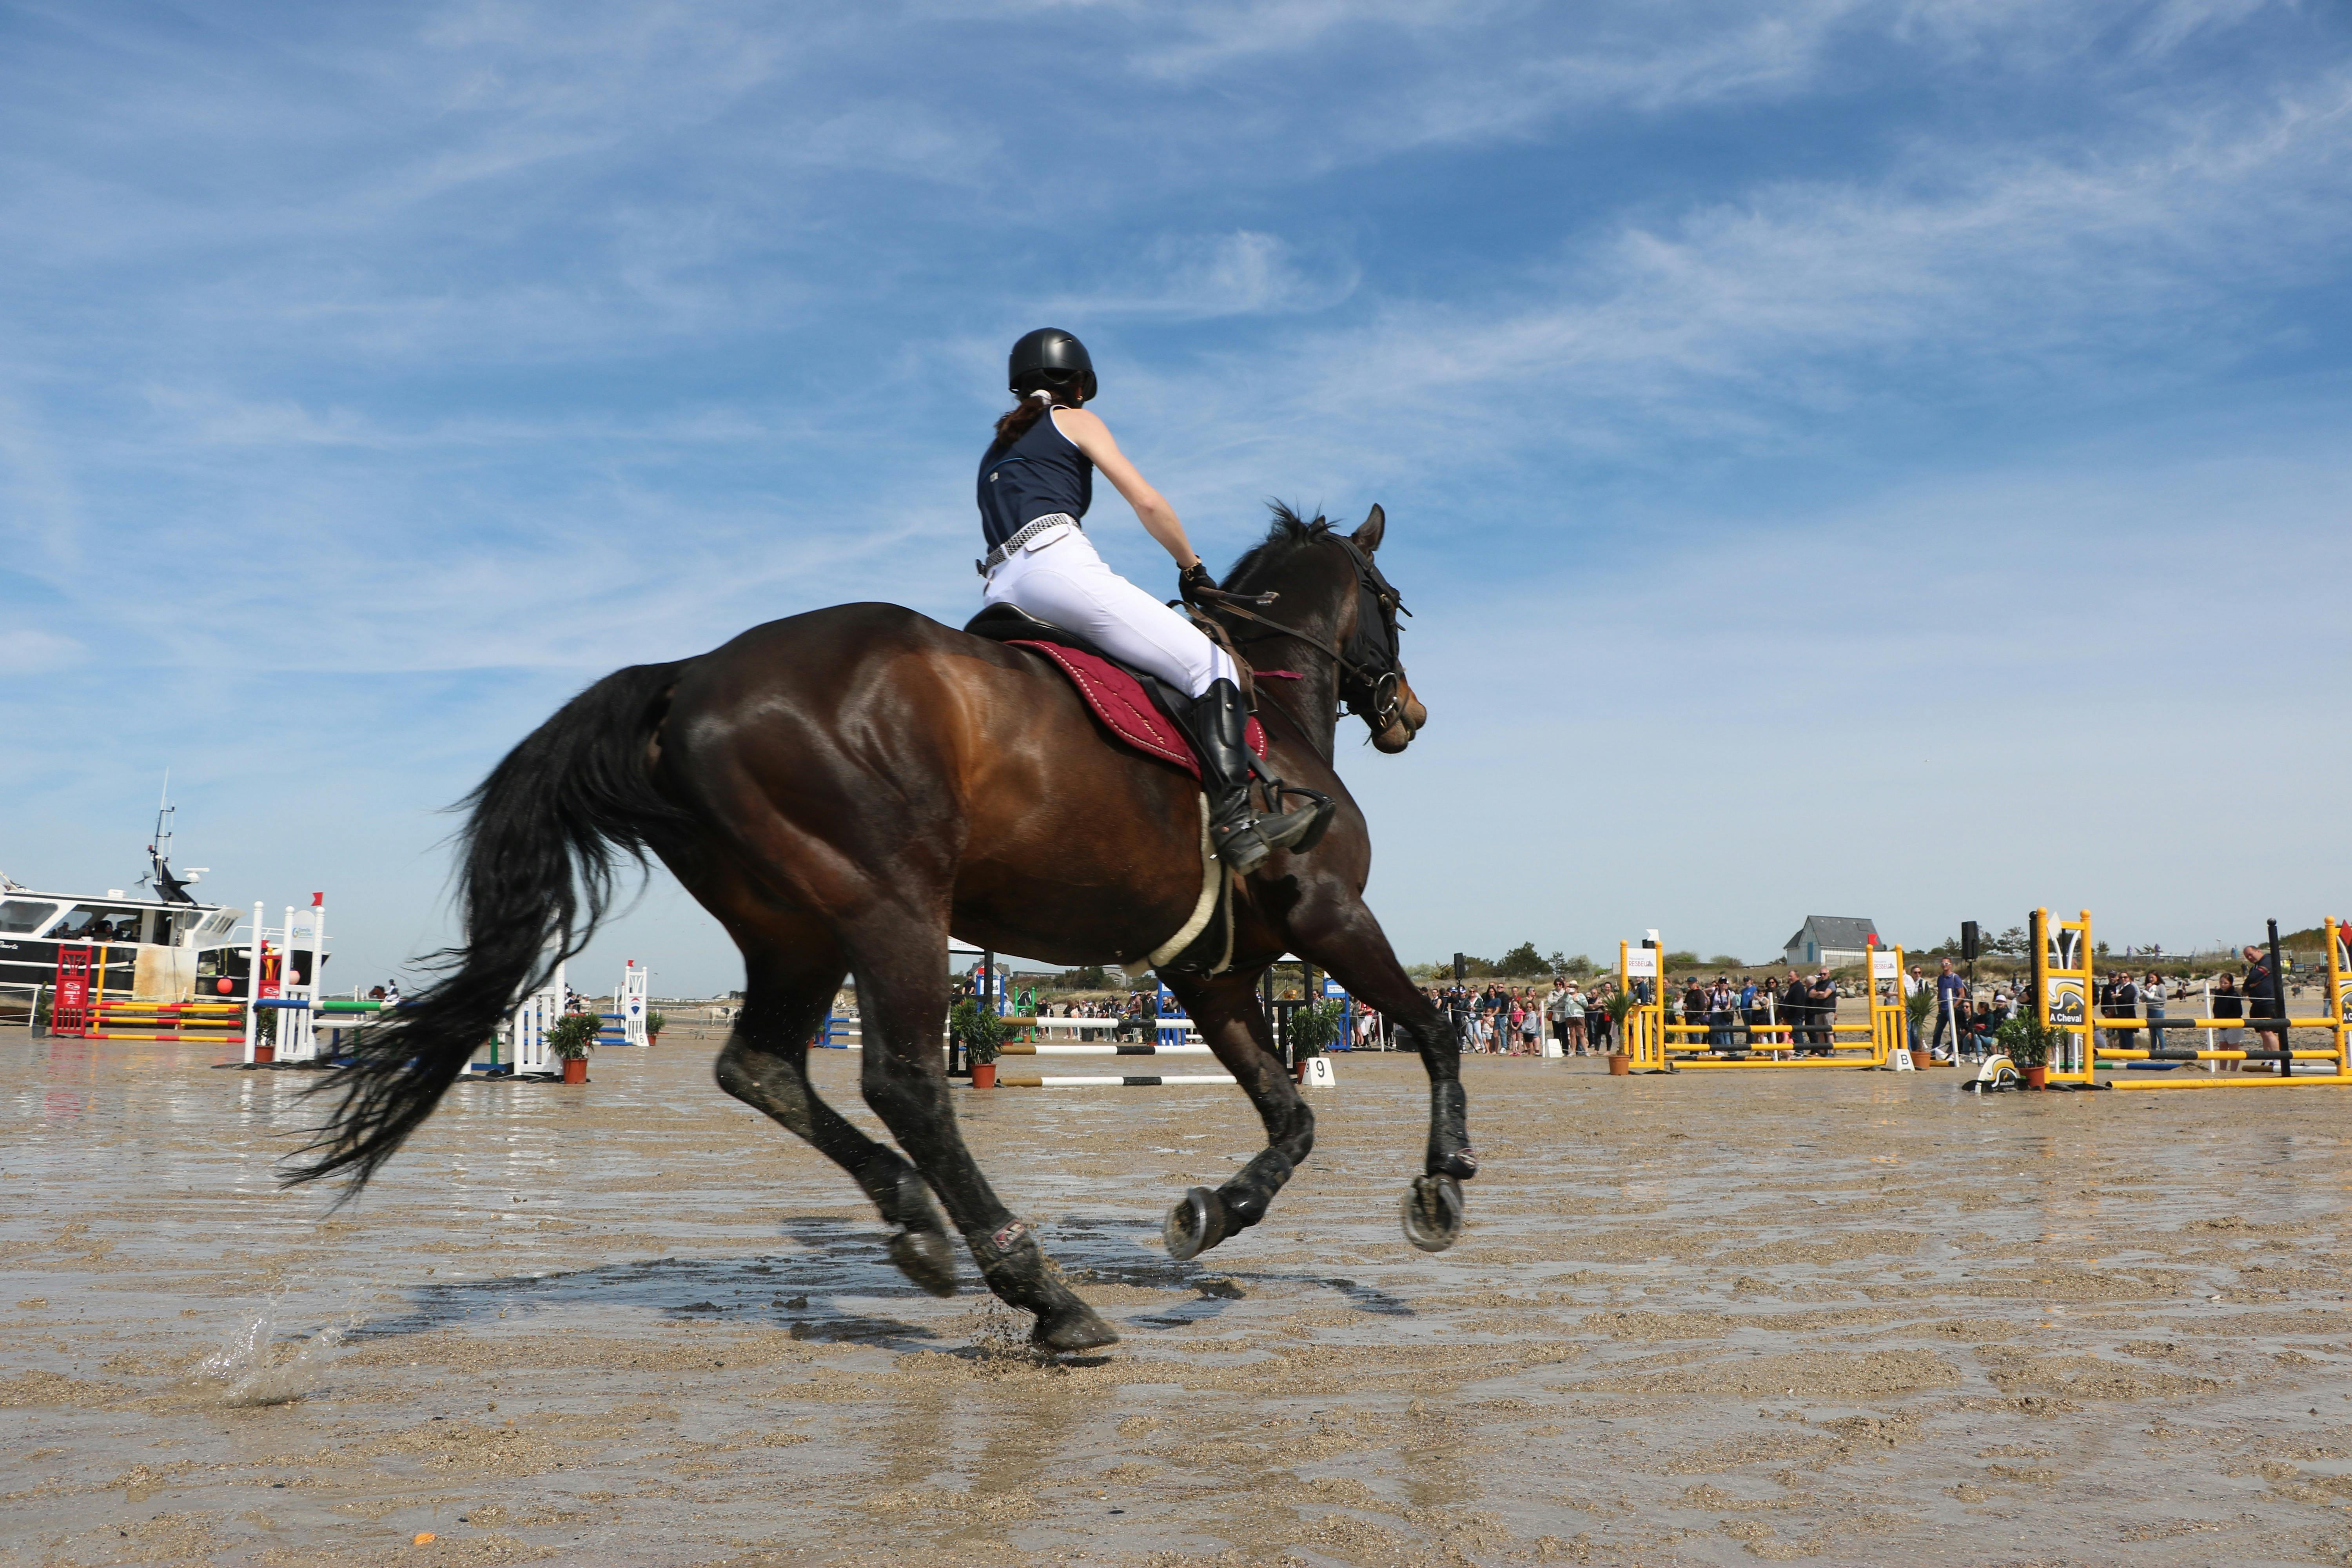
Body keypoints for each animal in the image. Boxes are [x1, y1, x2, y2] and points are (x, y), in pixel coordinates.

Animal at [293, 503, 1476, 1352]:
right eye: (1395, 601)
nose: (1410, 714)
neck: (1267, 717)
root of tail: (692, 677)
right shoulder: (1328, 914)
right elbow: (1430, 1028)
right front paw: (1443, 1180)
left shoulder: (1212, 977)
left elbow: (1294, 1113)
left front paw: (1214, 1211)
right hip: (893, 906)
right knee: (904, 1083)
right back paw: (1042, 1293)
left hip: (799, 930)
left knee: (762, 1067)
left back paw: (915, 1223)